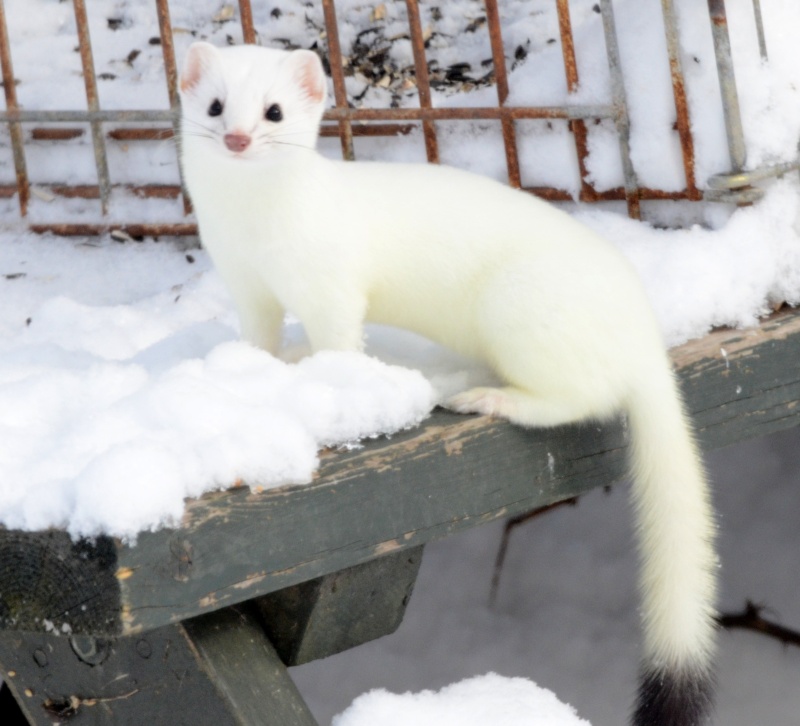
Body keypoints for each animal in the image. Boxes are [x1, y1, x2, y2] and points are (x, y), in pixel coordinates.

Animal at [180, 45, 720, 726]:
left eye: (274, 110)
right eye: (214, 105)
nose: (237, 136)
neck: (255, 236)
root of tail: (643, 333)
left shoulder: (331, 284)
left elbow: (339, 336)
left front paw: (333, 380)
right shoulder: (245, 284)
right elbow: (259, 337)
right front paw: (256, 366)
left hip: (518, 307)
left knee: (578, 398)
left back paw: (488, 396)